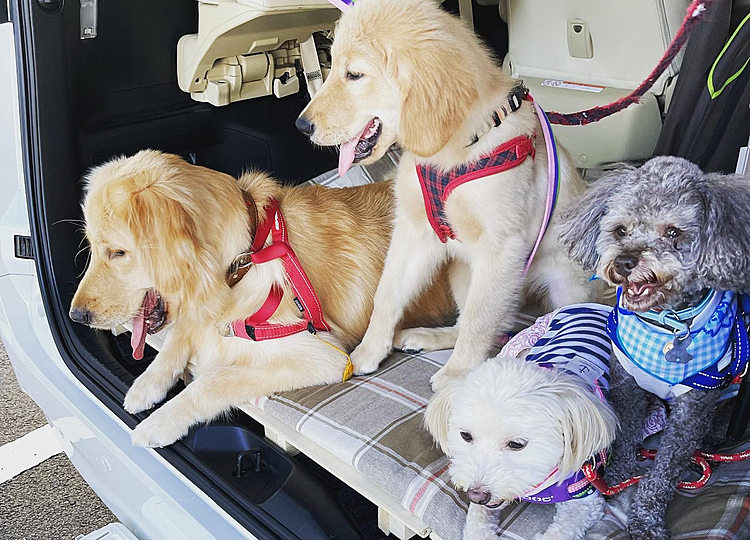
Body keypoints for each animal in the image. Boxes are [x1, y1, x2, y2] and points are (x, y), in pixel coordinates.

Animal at [69, 149, 452, 448]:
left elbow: (212, 381)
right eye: (92, 247)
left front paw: (160, 423)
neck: (245, 258)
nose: (76, 317)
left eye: (118, 252)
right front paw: (147, 383)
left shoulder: (325, 355)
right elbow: (180, 336)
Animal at [296, 0, 604, 390]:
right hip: (462, 272)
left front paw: (459, 374)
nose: (301, 126)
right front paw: (368, 350)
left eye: (354, 75)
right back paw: (427, 336)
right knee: (474, 321)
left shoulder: (501, 246)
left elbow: (479, 319)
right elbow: (387, 294)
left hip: (567, 284)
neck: (449, 153)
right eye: (332, 65)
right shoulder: (412, 233)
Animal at [434, 306, 624, 536]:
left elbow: (560, 531)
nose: (476, 495)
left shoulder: (583, 500)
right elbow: (477, 524)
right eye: (465, 436)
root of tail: (588, 306)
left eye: (517, 445)